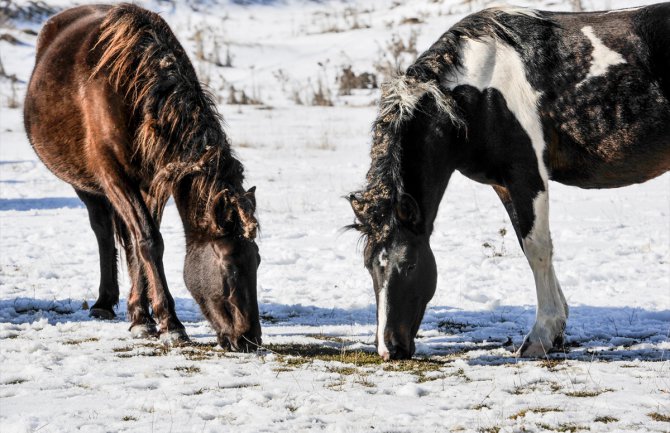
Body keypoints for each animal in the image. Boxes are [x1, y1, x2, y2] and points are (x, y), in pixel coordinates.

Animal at [23, 4, 262, 352]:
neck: (133, 91)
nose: (249, 339)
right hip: (87, 186)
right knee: (103, 231)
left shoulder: (154, 183)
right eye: (229, 265)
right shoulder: (115, 177)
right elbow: (149, 241)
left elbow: (141, 245)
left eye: (256, 261)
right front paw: (170, 324)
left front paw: (143, 318)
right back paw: (103, 303)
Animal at [350, 5, 670, 360]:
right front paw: (558, 328)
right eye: (369, 267)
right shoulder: (503, 183)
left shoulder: (526, 175)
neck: (479, 97)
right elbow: (525, 241)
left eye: (409, 264)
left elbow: (537, 248)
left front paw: (540, 336)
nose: (389, 348)